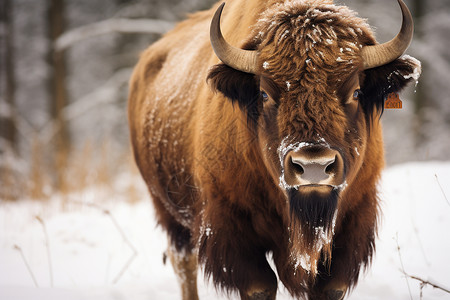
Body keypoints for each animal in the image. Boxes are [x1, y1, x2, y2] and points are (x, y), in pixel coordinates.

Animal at [127, 0, 422, 298]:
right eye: (265, 94)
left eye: (356, 92)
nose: (313, 167)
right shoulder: (232, 230)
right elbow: (260, 286)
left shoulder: (352, 225)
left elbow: (329, 286)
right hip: (171, 214)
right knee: (184, 265)